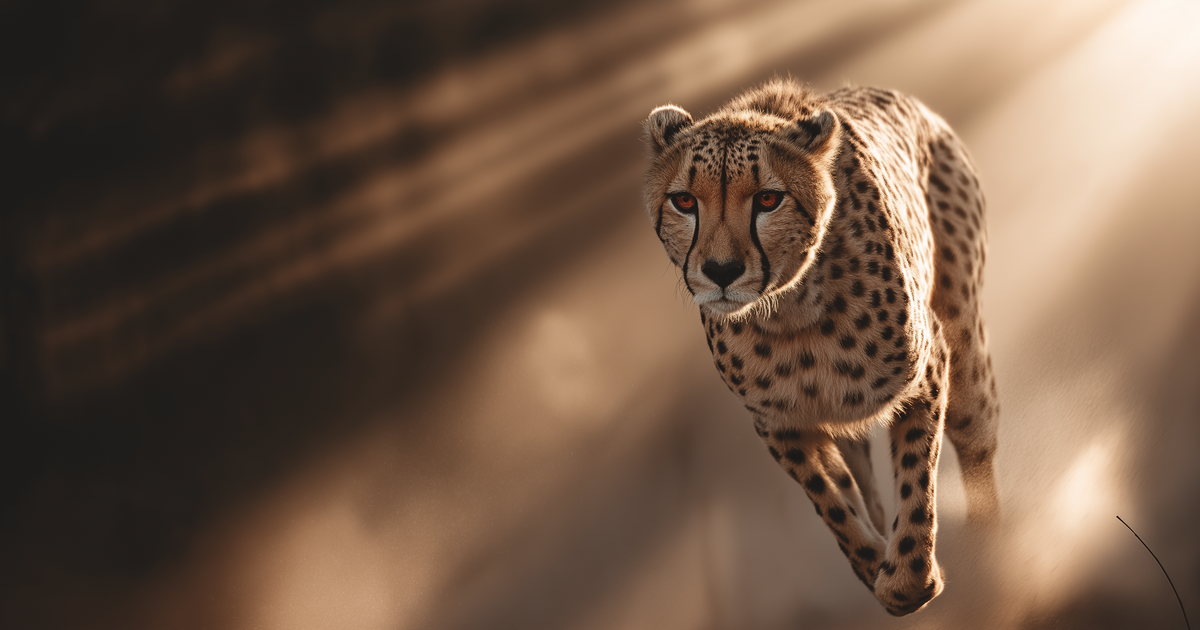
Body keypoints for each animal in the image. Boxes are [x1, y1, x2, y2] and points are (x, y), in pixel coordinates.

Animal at [641, 79, 999, 616]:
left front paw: (906, 581)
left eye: (768, 199)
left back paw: (992, 550)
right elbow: (830, 500)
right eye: (684, 201)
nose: (721, 271)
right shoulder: (781, 423)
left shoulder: (930, 365)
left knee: (975, 443)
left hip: (965, 344)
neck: (789, 312)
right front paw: (872, 562)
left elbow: (917, 481)